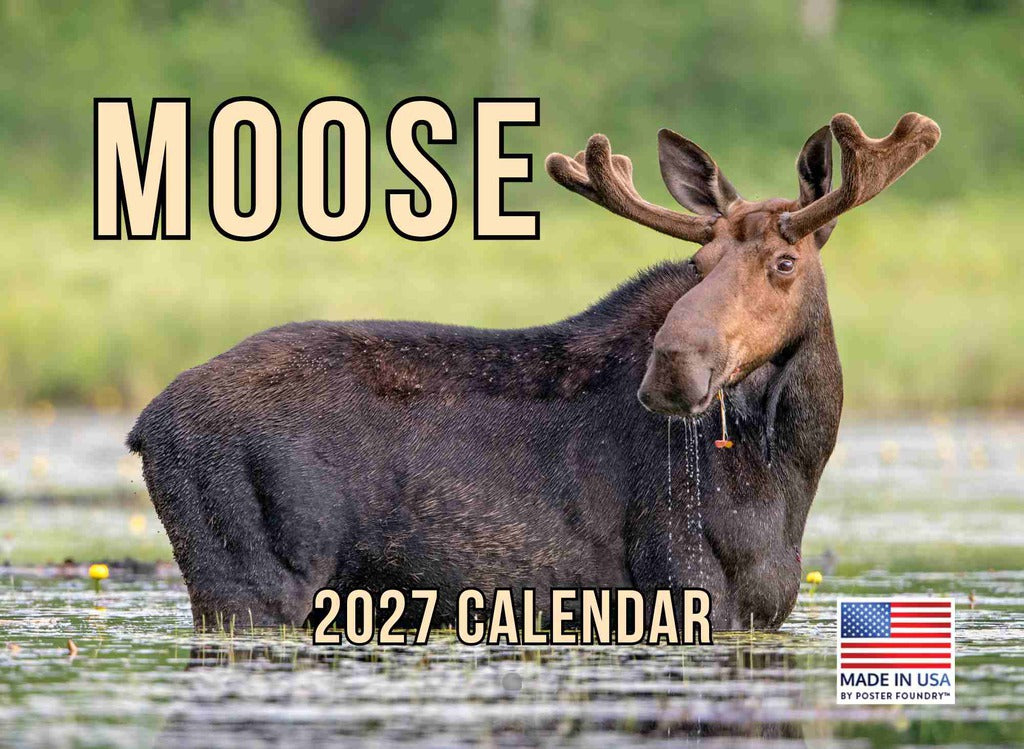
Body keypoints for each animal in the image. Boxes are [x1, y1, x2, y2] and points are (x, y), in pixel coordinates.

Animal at [128, 112, 939, 632]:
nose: (673, 366)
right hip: (249, 584)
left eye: (784, 261)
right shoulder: (683, 584)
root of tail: (144, 426)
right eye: (700, 262)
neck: (790, 467)